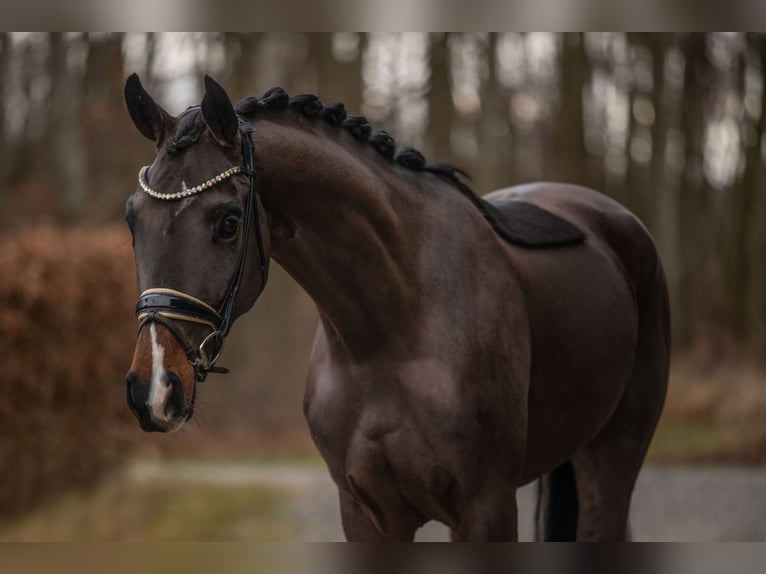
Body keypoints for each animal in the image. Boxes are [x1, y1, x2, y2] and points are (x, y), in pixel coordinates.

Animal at [123, 74, 668, 544]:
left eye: (228, 222)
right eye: (132, 218)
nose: (154, 389)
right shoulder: (367, 514)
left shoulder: (486, 507)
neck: (387, 336)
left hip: (612, 461)